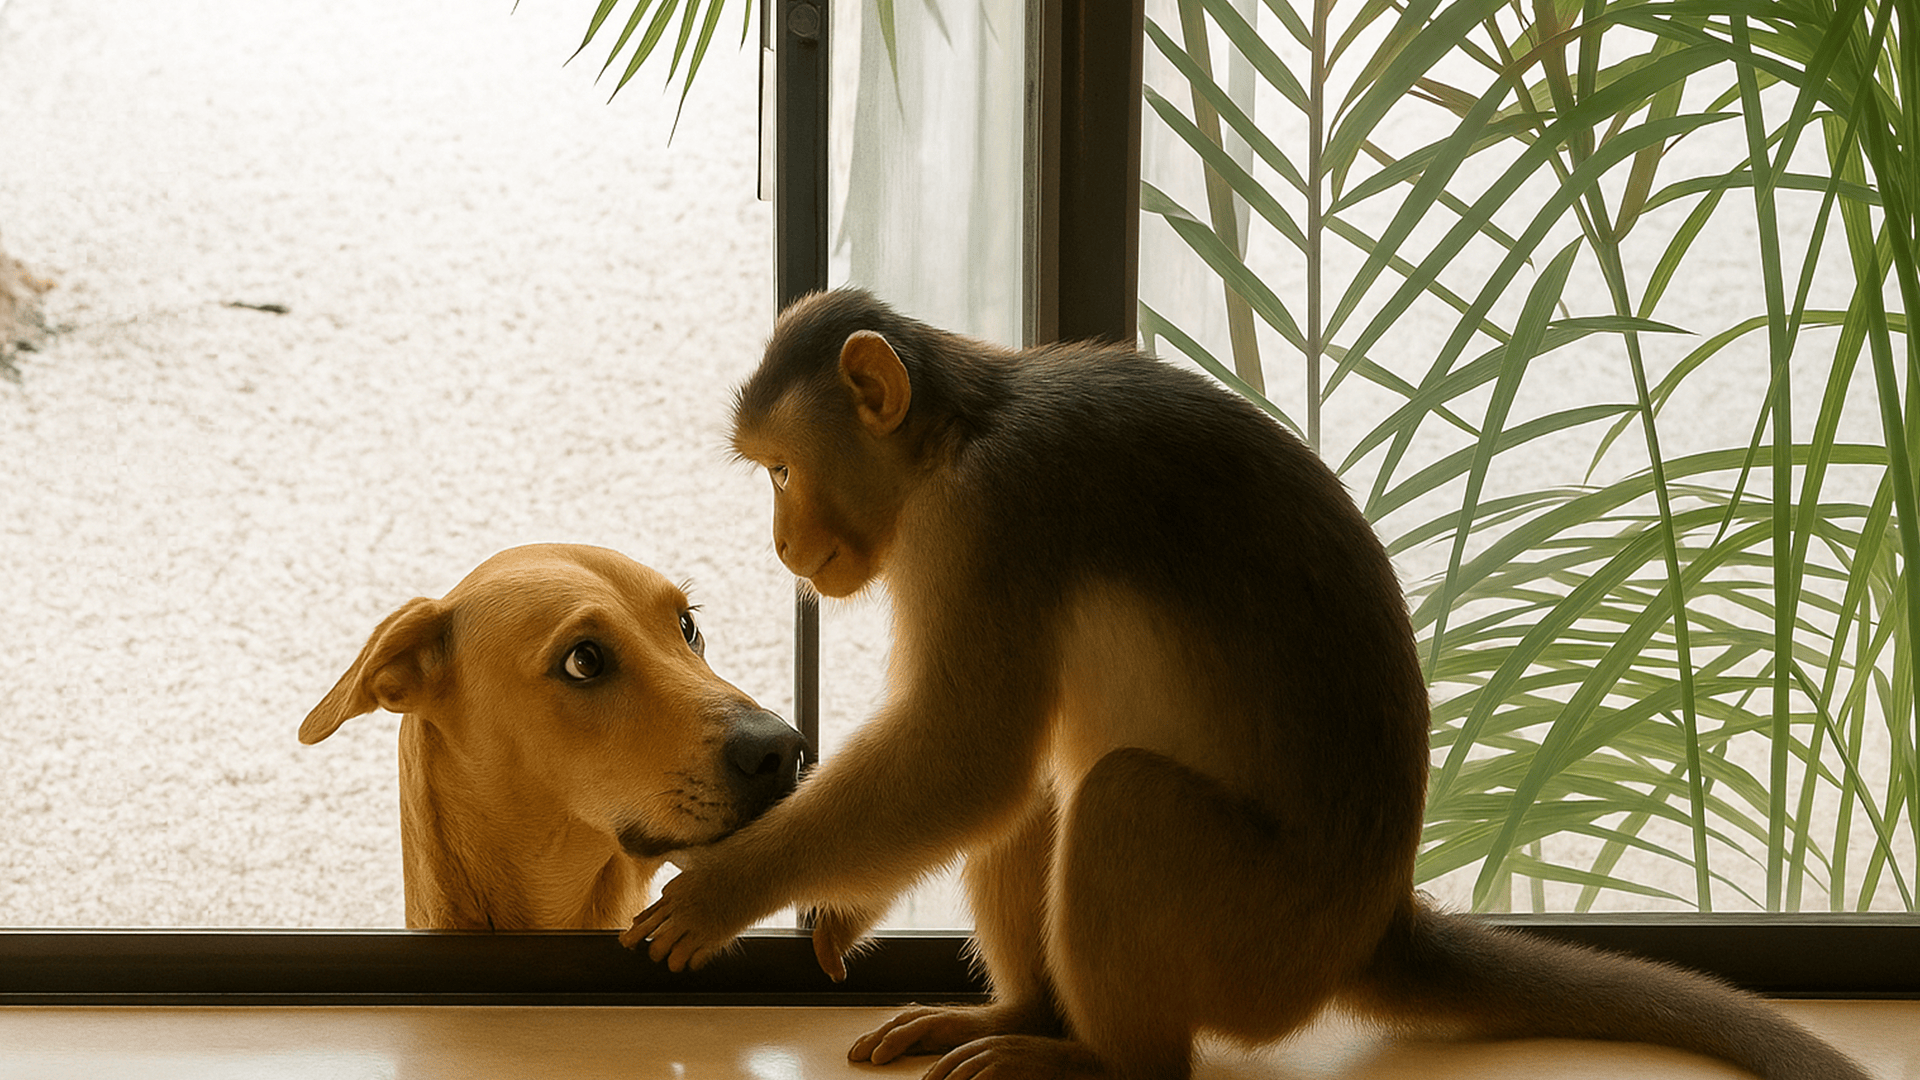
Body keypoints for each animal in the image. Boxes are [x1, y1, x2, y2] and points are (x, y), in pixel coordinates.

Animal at [623, 288, 1870, 1080]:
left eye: (784, 471)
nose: (785, 542)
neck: (960, 433)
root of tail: (1371, 927)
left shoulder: (993, 523)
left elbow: (967, 754)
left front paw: (727, 891)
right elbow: (986, 769)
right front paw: (842, 904)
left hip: (1257, 943)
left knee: (1115, 798)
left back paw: (1103, 1060)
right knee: (1058, 783)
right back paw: (1027, 1010)